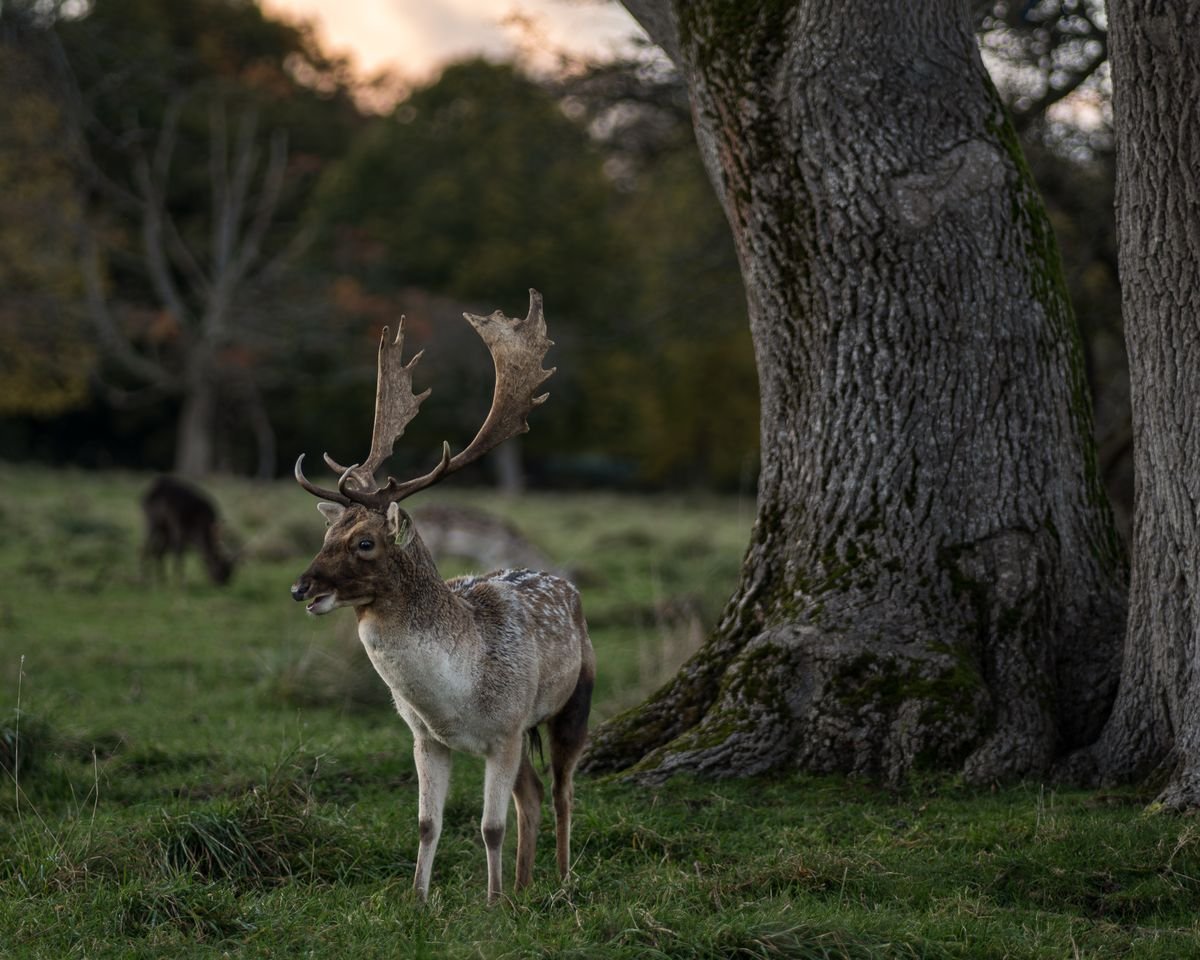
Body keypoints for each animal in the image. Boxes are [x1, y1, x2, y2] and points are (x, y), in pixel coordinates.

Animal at [289, 290, 595, 905]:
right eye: (326, 535)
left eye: (364, 542)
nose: (300, 587)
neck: (458, 697)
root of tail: (566, 583)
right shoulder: (424, 737)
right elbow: (428, 823)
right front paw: (420, 900)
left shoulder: (504, 731)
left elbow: (490, 825)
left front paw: (492, 904)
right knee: (532, 794)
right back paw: (524, 885)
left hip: (575, 698)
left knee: (562, 791)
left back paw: (560, 880)